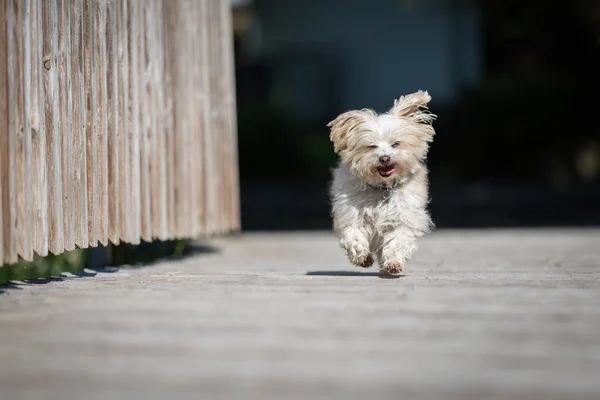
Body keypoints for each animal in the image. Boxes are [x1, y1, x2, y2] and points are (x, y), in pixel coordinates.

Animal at [328, 90, 436, 276]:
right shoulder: (351, 215)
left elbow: (398, 240)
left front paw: (393, 262)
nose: (385, 158)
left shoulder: (403, 218)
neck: (382, 187)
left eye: (396, 144)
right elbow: (353, 235)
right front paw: (361, 256)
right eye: (371, 146)